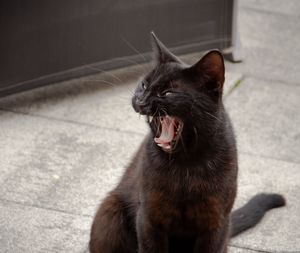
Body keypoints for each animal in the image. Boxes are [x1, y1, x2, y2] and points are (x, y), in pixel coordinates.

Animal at [88, 32, 284, 252]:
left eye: (167, 93)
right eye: (144, 85)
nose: (141, 100)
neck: (186, 164)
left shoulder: (215, 223)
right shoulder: (149, 218)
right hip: (110, 213)